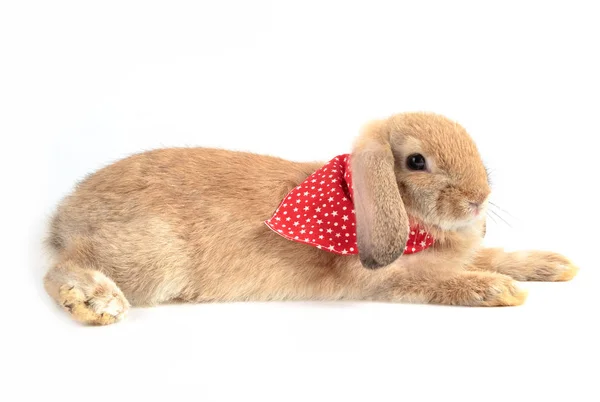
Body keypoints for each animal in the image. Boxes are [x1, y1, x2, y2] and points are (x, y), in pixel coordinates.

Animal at [42, 111, 576, 326]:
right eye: (416, 161)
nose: (478, 200)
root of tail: (66, 215)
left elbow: (493, 255)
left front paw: (552, 266)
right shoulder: (381, 281)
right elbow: (437, 282)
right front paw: (498, 290)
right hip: (155, 257)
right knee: (61, 268)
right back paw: (95, 301)